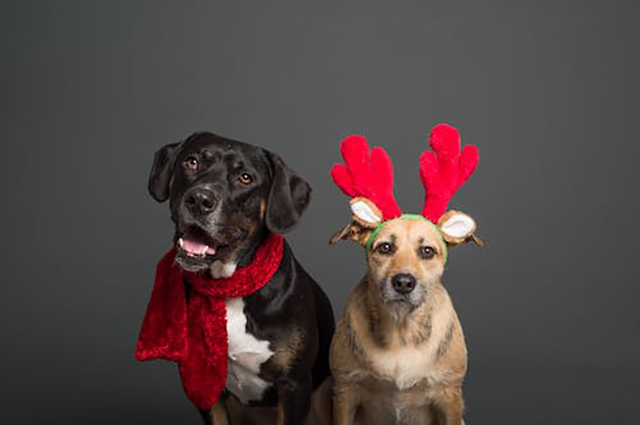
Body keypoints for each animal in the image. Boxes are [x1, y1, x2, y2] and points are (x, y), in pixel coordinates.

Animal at [146, 132, 336, 424]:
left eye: (245, 177)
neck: (229, 285)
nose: (199, 199)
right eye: (192, 161)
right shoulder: (205, 386)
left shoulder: (294, 387)